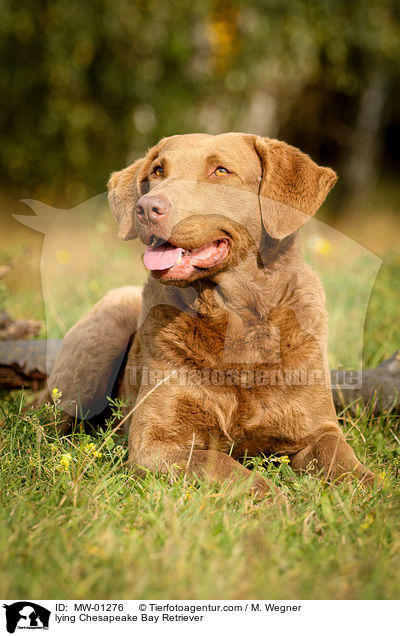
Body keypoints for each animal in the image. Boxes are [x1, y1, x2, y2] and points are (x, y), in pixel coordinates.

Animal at [46, 132, 376, 500]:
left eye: (220, 171)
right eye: (158, 170)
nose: (146, 207)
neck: (238, 321)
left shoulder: (318, 427)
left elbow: (346, 461)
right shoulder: (154, 442)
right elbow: (225, 465)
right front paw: (276, 502)